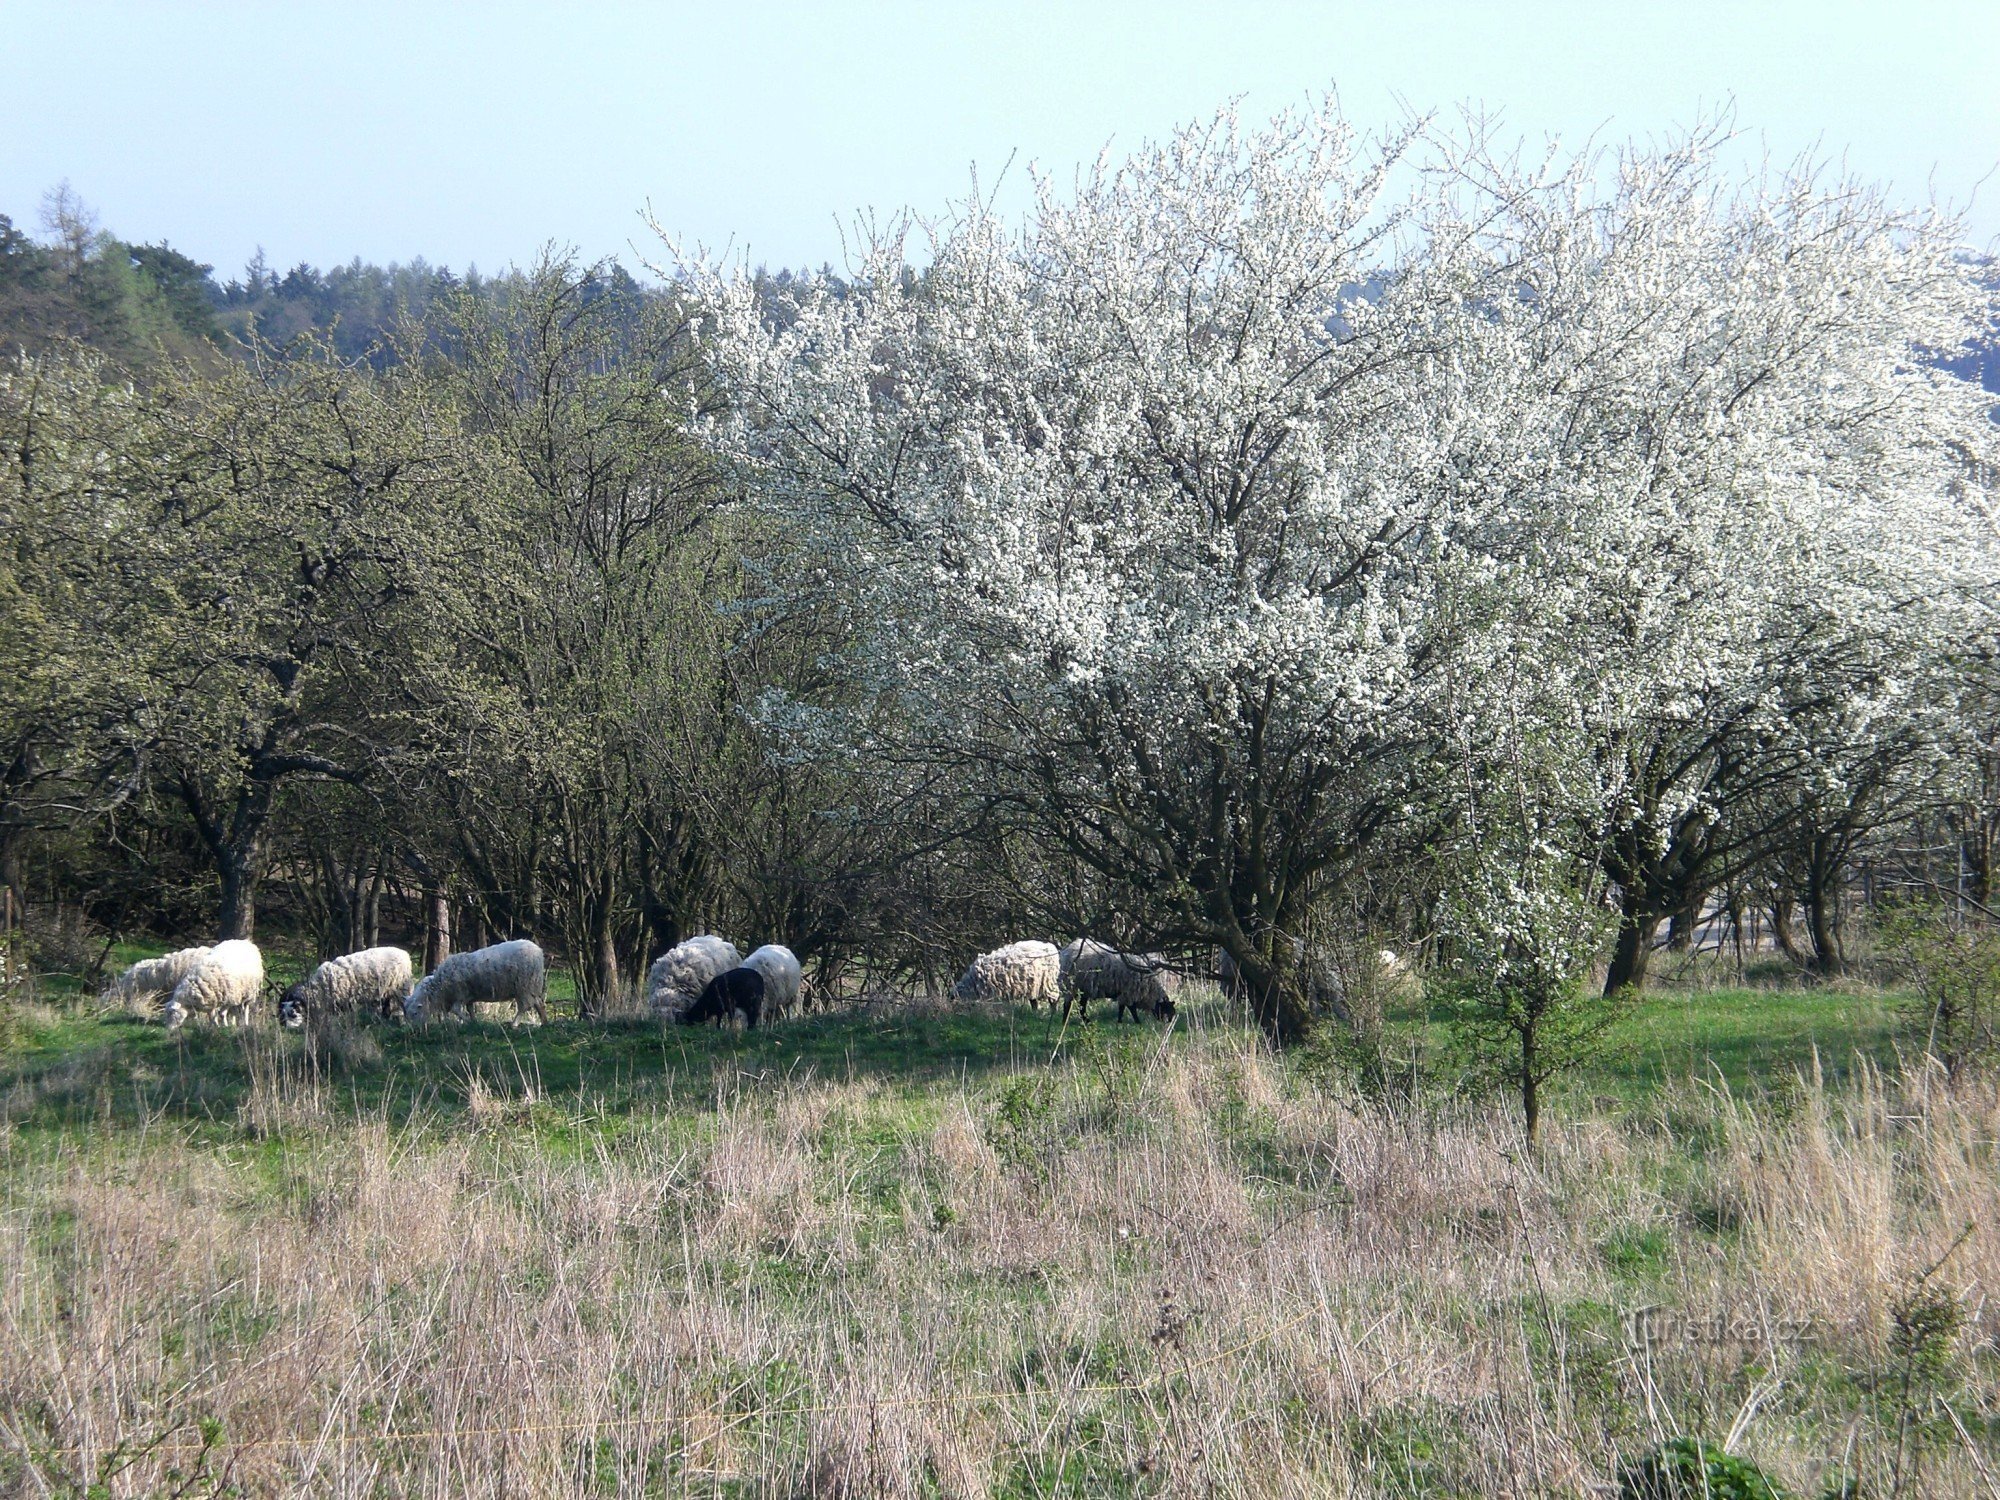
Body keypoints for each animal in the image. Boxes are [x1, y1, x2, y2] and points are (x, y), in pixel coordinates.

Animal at [278, 952, 414, 1032]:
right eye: (282, 1015)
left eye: (293, 1014)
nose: (288, 1030)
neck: (318, 989)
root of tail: (405, 954)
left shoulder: (343, 1001)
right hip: (386, 990)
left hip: (402, 988)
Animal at [402, 944, 552, 1032]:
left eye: (415, 1013)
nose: (414, 1031)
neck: (439, 987)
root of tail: (538, 951)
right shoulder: (468, 996)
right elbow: (470, 1009)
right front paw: (473, 1021)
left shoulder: (459, 994)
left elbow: (456, 1010)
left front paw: (467, 1022)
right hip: (532, 987)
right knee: (539, 1003)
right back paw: (544, 1022)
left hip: (524, 986)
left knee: (524, 1007)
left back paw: (514, 1024)